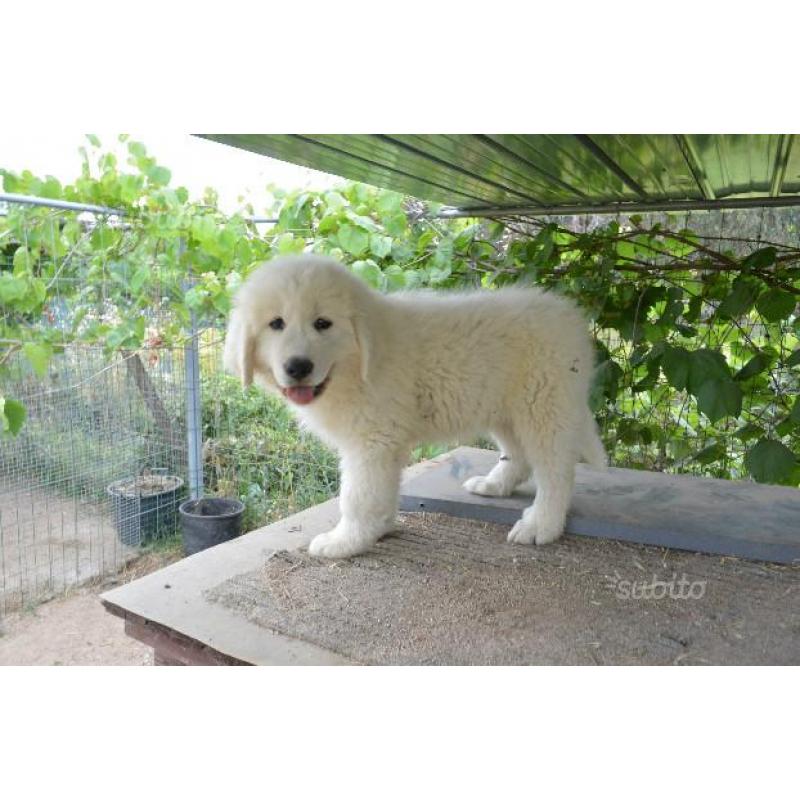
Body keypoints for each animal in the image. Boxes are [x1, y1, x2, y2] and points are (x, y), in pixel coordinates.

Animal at [222, 255, 604, 556]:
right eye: (276, 324)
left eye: (322, 323)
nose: (298, 367)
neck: (359, 363)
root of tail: (570, 316)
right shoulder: (381, 443)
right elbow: (381, 491)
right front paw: (377, 529)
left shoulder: (372, 441)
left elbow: (357, 496)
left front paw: (346, 542)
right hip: (503, 407)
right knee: (519, 456)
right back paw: (495, 485)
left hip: (544, 404)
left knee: (556, 471)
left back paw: (541, 525)